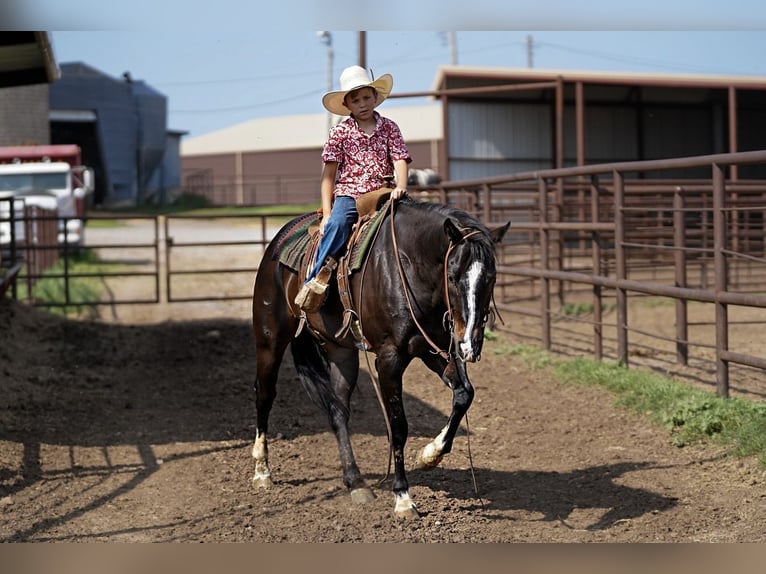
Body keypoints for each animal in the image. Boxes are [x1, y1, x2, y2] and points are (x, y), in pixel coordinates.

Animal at [252, 196, 512, 520]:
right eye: (452, 276)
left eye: (491, 277)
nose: (470, 345)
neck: (410, 268)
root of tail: (279, 241)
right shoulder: (389, 360)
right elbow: (398, 427)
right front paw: (403, 497)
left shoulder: (436, 350)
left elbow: (465, 394)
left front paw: (429, 455)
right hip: (269, 340)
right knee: (265, 395)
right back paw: (262, 471)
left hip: (342, 352)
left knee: (338, 410)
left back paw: (355, 482)